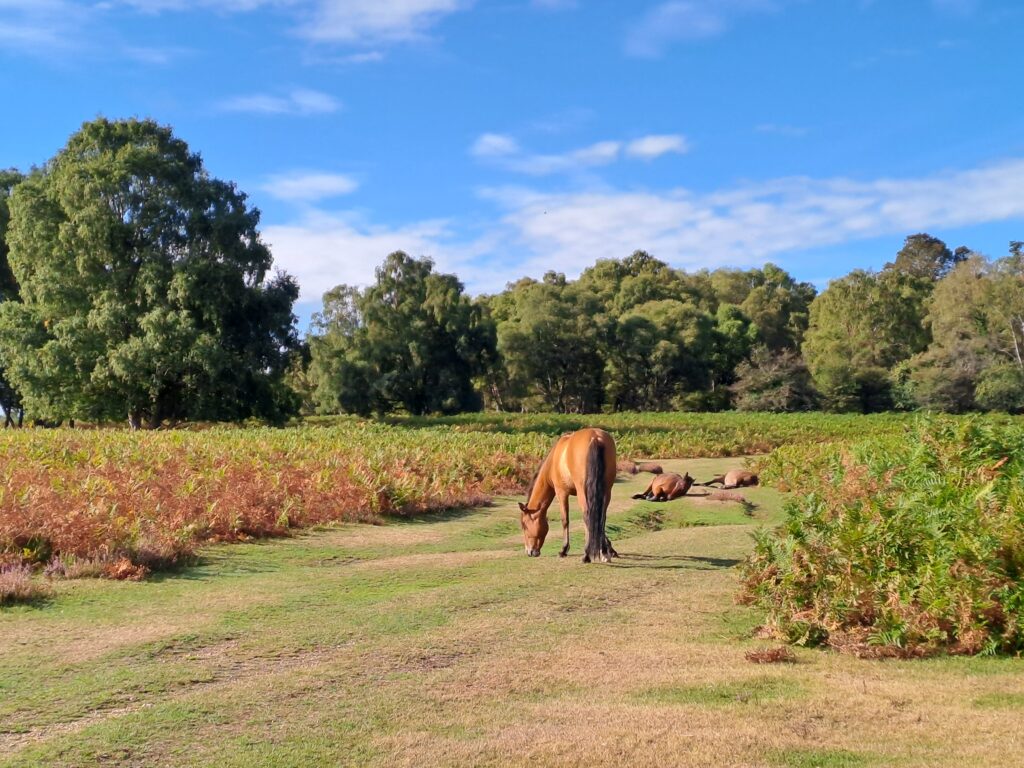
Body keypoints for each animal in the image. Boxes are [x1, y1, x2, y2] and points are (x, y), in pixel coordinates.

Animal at [519, 428, 617, 563]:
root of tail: (595, 438)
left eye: (524, 526)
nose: (529, 552)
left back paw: (586, 555)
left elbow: (565, 520)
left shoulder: (561, 492)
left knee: (588, 515)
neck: (554, 460)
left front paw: (564, 550)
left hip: (583, 492)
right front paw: (608, 550)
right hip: (607, 490)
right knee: (600, 517)